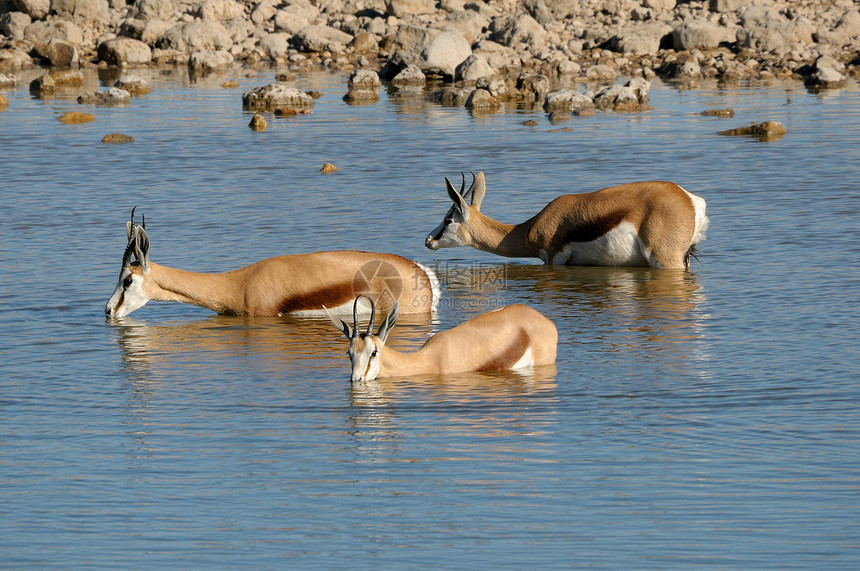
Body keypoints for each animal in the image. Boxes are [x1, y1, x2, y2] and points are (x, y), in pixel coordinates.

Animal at [426, 171, 708, 270]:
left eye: (448, 219)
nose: (428, 240)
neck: (526, 229)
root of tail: (690, 200)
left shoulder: (553, 259)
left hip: (664, 259)